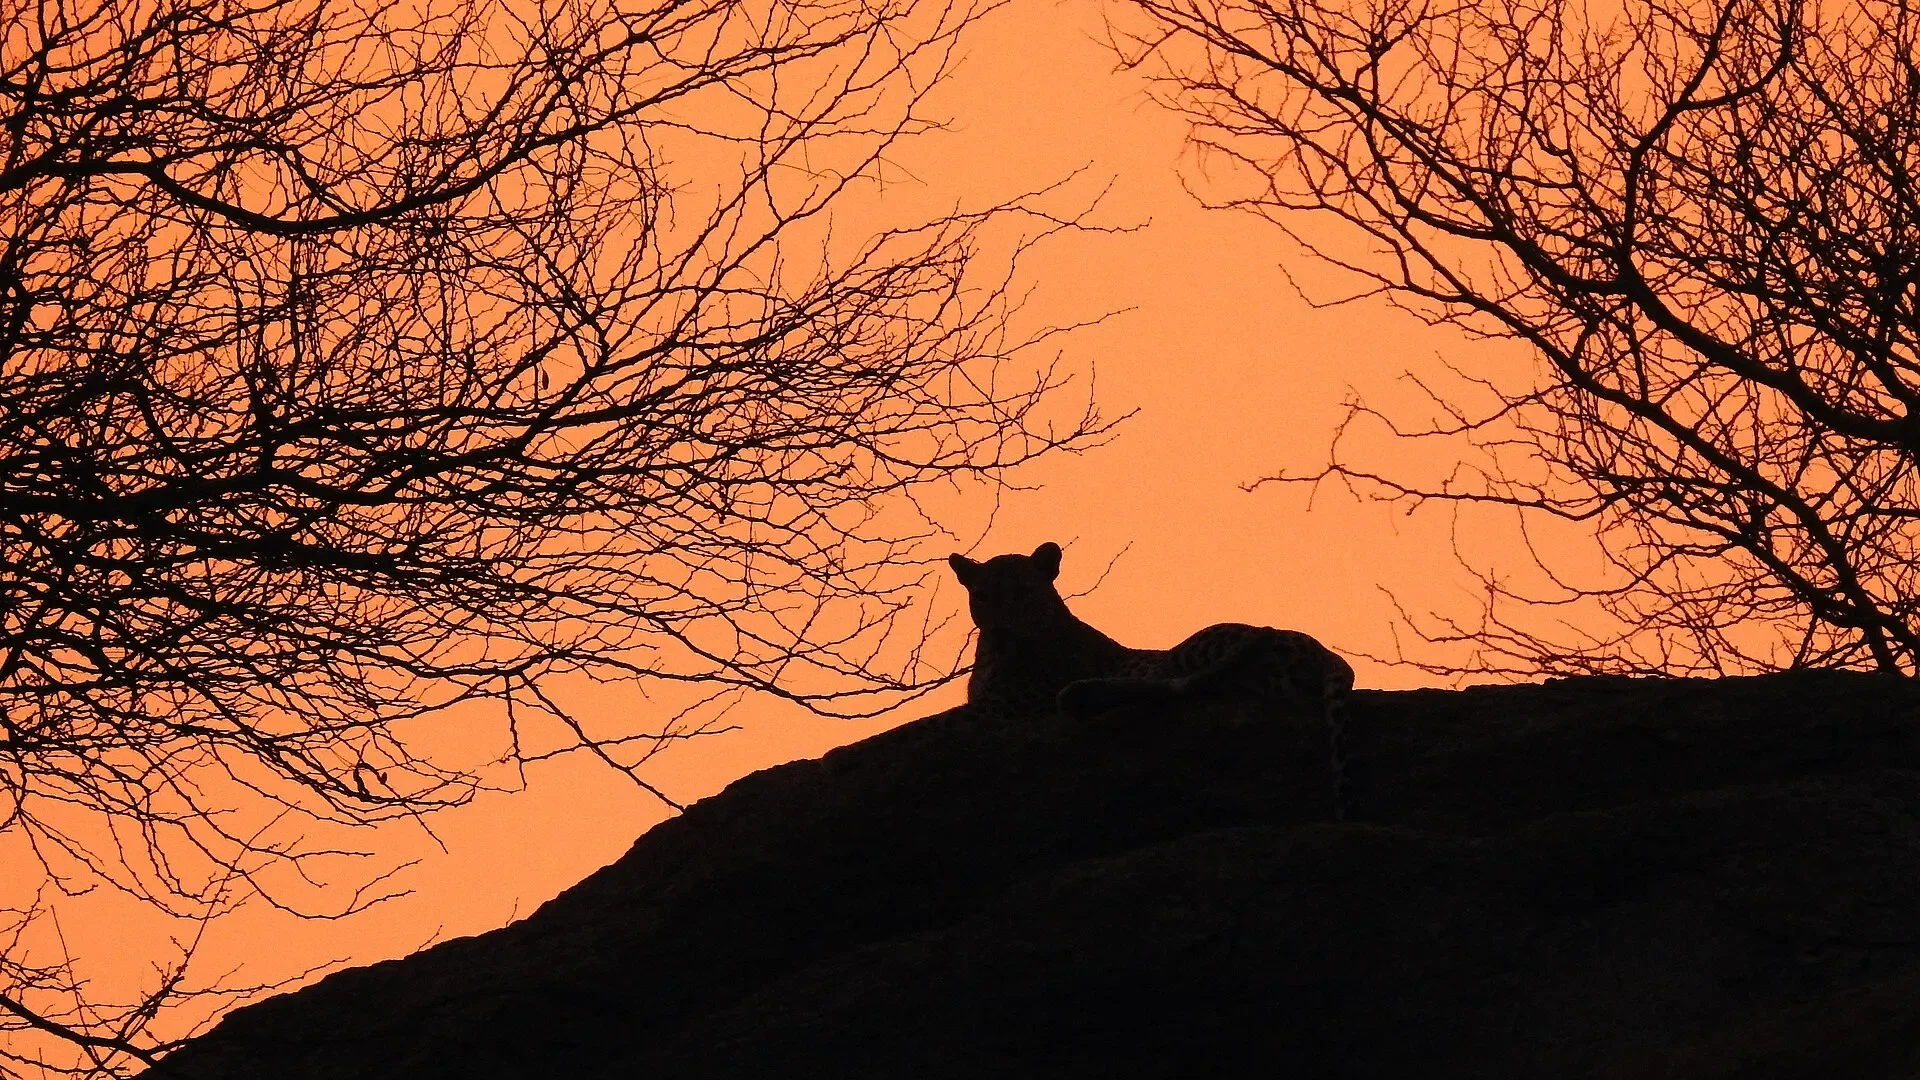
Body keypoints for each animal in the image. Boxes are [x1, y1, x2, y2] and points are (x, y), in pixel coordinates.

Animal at [948, 541, 1357, 820]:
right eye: (982, 596)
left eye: (1023, 593)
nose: (1001, 629)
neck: (991, 654)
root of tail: (1323, 651)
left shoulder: (1006, 708)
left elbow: (951, 718)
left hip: (1196, 648)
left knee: (1179, 686)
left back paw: (1080, 696)